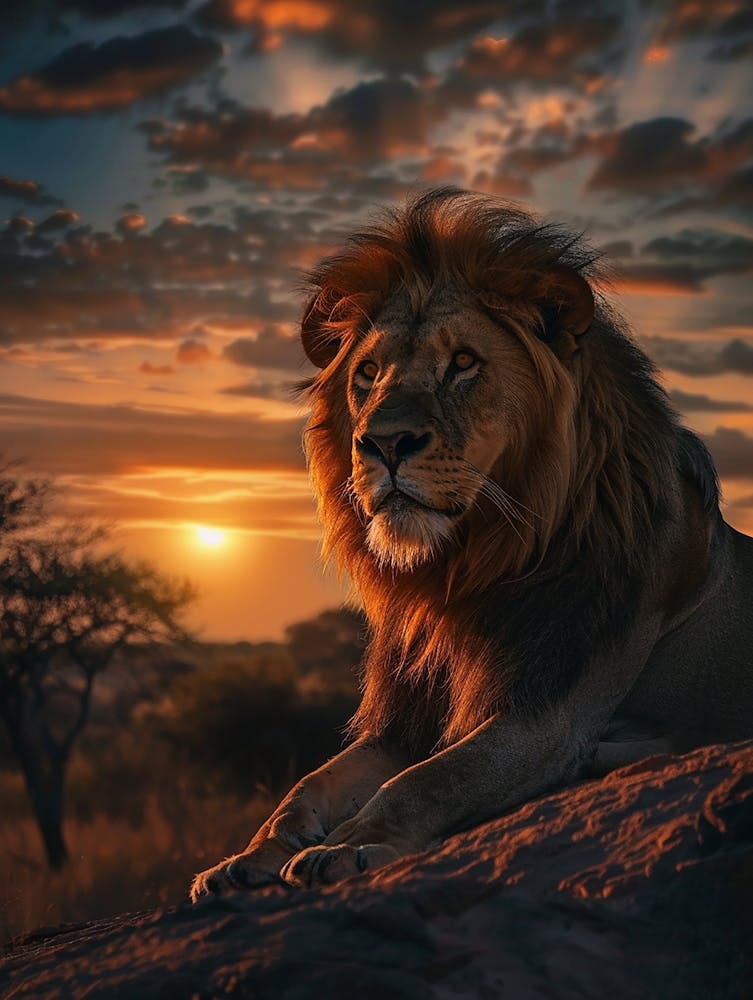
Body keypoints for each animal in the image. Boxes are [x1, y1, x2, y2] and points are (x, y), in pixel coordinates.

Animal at [191, 187, 753, 898]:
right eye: (368, 373)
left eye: (463, 363)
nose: (383, 443)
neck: (468, 565)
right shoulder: (407, 721)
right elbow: (309, 784)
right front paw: (246, 857)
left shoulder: (547, 715)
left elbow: (428, 781)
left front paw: (347, 846)